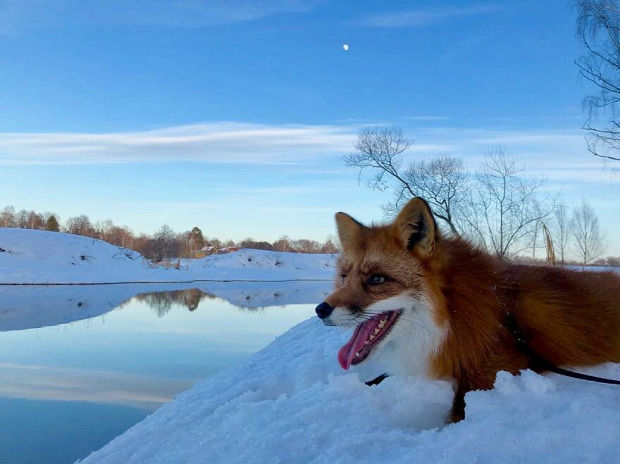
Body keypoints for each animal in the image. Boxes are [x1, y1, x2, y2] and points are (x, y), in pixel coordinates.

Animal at [314, 198, 620, 422]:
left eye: (377, 279)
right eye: (345, 277)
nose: (320, 310)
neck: (451, 315)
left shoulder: (500, 369)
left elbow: (457, 411)